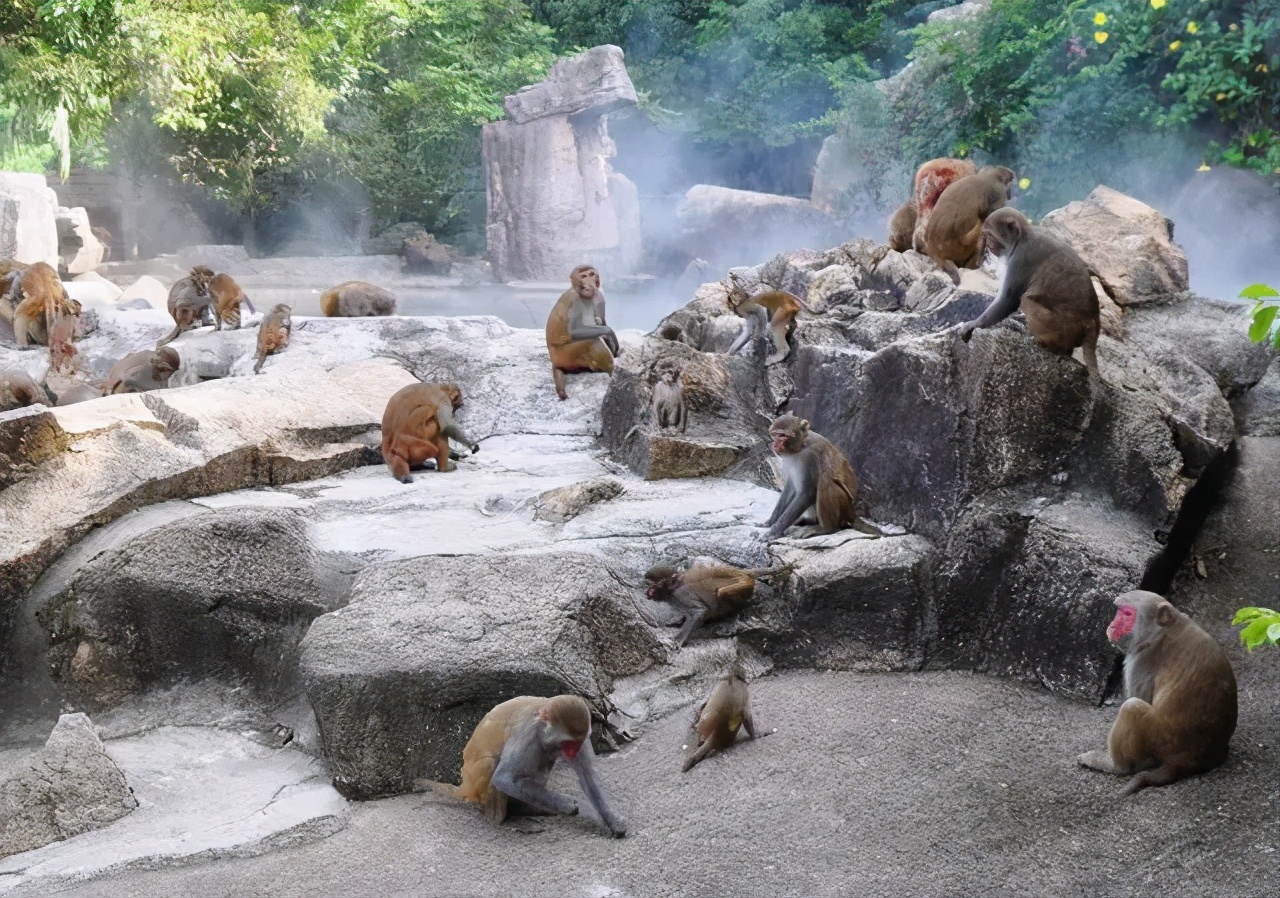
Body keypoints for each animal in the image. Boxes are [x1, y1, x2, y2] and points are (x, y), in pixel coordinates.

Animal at [440, 695, 624, 839]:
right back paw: (507, 817)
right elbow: (503, 778)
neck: (542, 729)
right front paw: (564, 804)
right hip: (476, 781)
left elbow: (588, 777)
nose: (573, 753)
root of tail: (465, 786)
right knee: (493, 765)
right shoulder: (528, 735)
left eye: (576, 744)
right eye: (568, 744)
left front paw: (612, 820)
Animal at [542, 262, 616, 399]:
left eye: (591, 274)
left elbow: (601, 321)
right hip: (565, 356)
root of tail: (554, 361)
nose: (590, 285)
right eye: (583, 276)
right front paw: (609, 332)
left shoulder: (599, 295)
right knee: (590, 343)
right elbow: (573, 331)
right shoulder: (575, 300)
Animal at [757, 414, 870, 542]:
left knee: (825, 482)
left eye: (783, 435)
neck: (801, 447)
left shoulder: (810, 458)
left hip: (844, 506)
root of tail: (853, 513)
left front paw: (773, 532)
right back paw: (809, 521)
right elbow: (791, 489)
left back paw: (825, 528)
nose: (775, 444)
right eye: (775, 434)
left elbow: (807, 493)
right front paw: (770, 522)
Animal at [957, 207, 1105, 378]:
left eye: (990, 236)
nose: (987, 244)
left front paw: (973, 325)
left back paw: (1049, 344)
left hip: (1062, 326)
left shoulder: (1019, 259)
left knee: (1026, 300)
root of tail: (1092, 324)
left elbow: (1008, 300)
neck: (1023, 237)